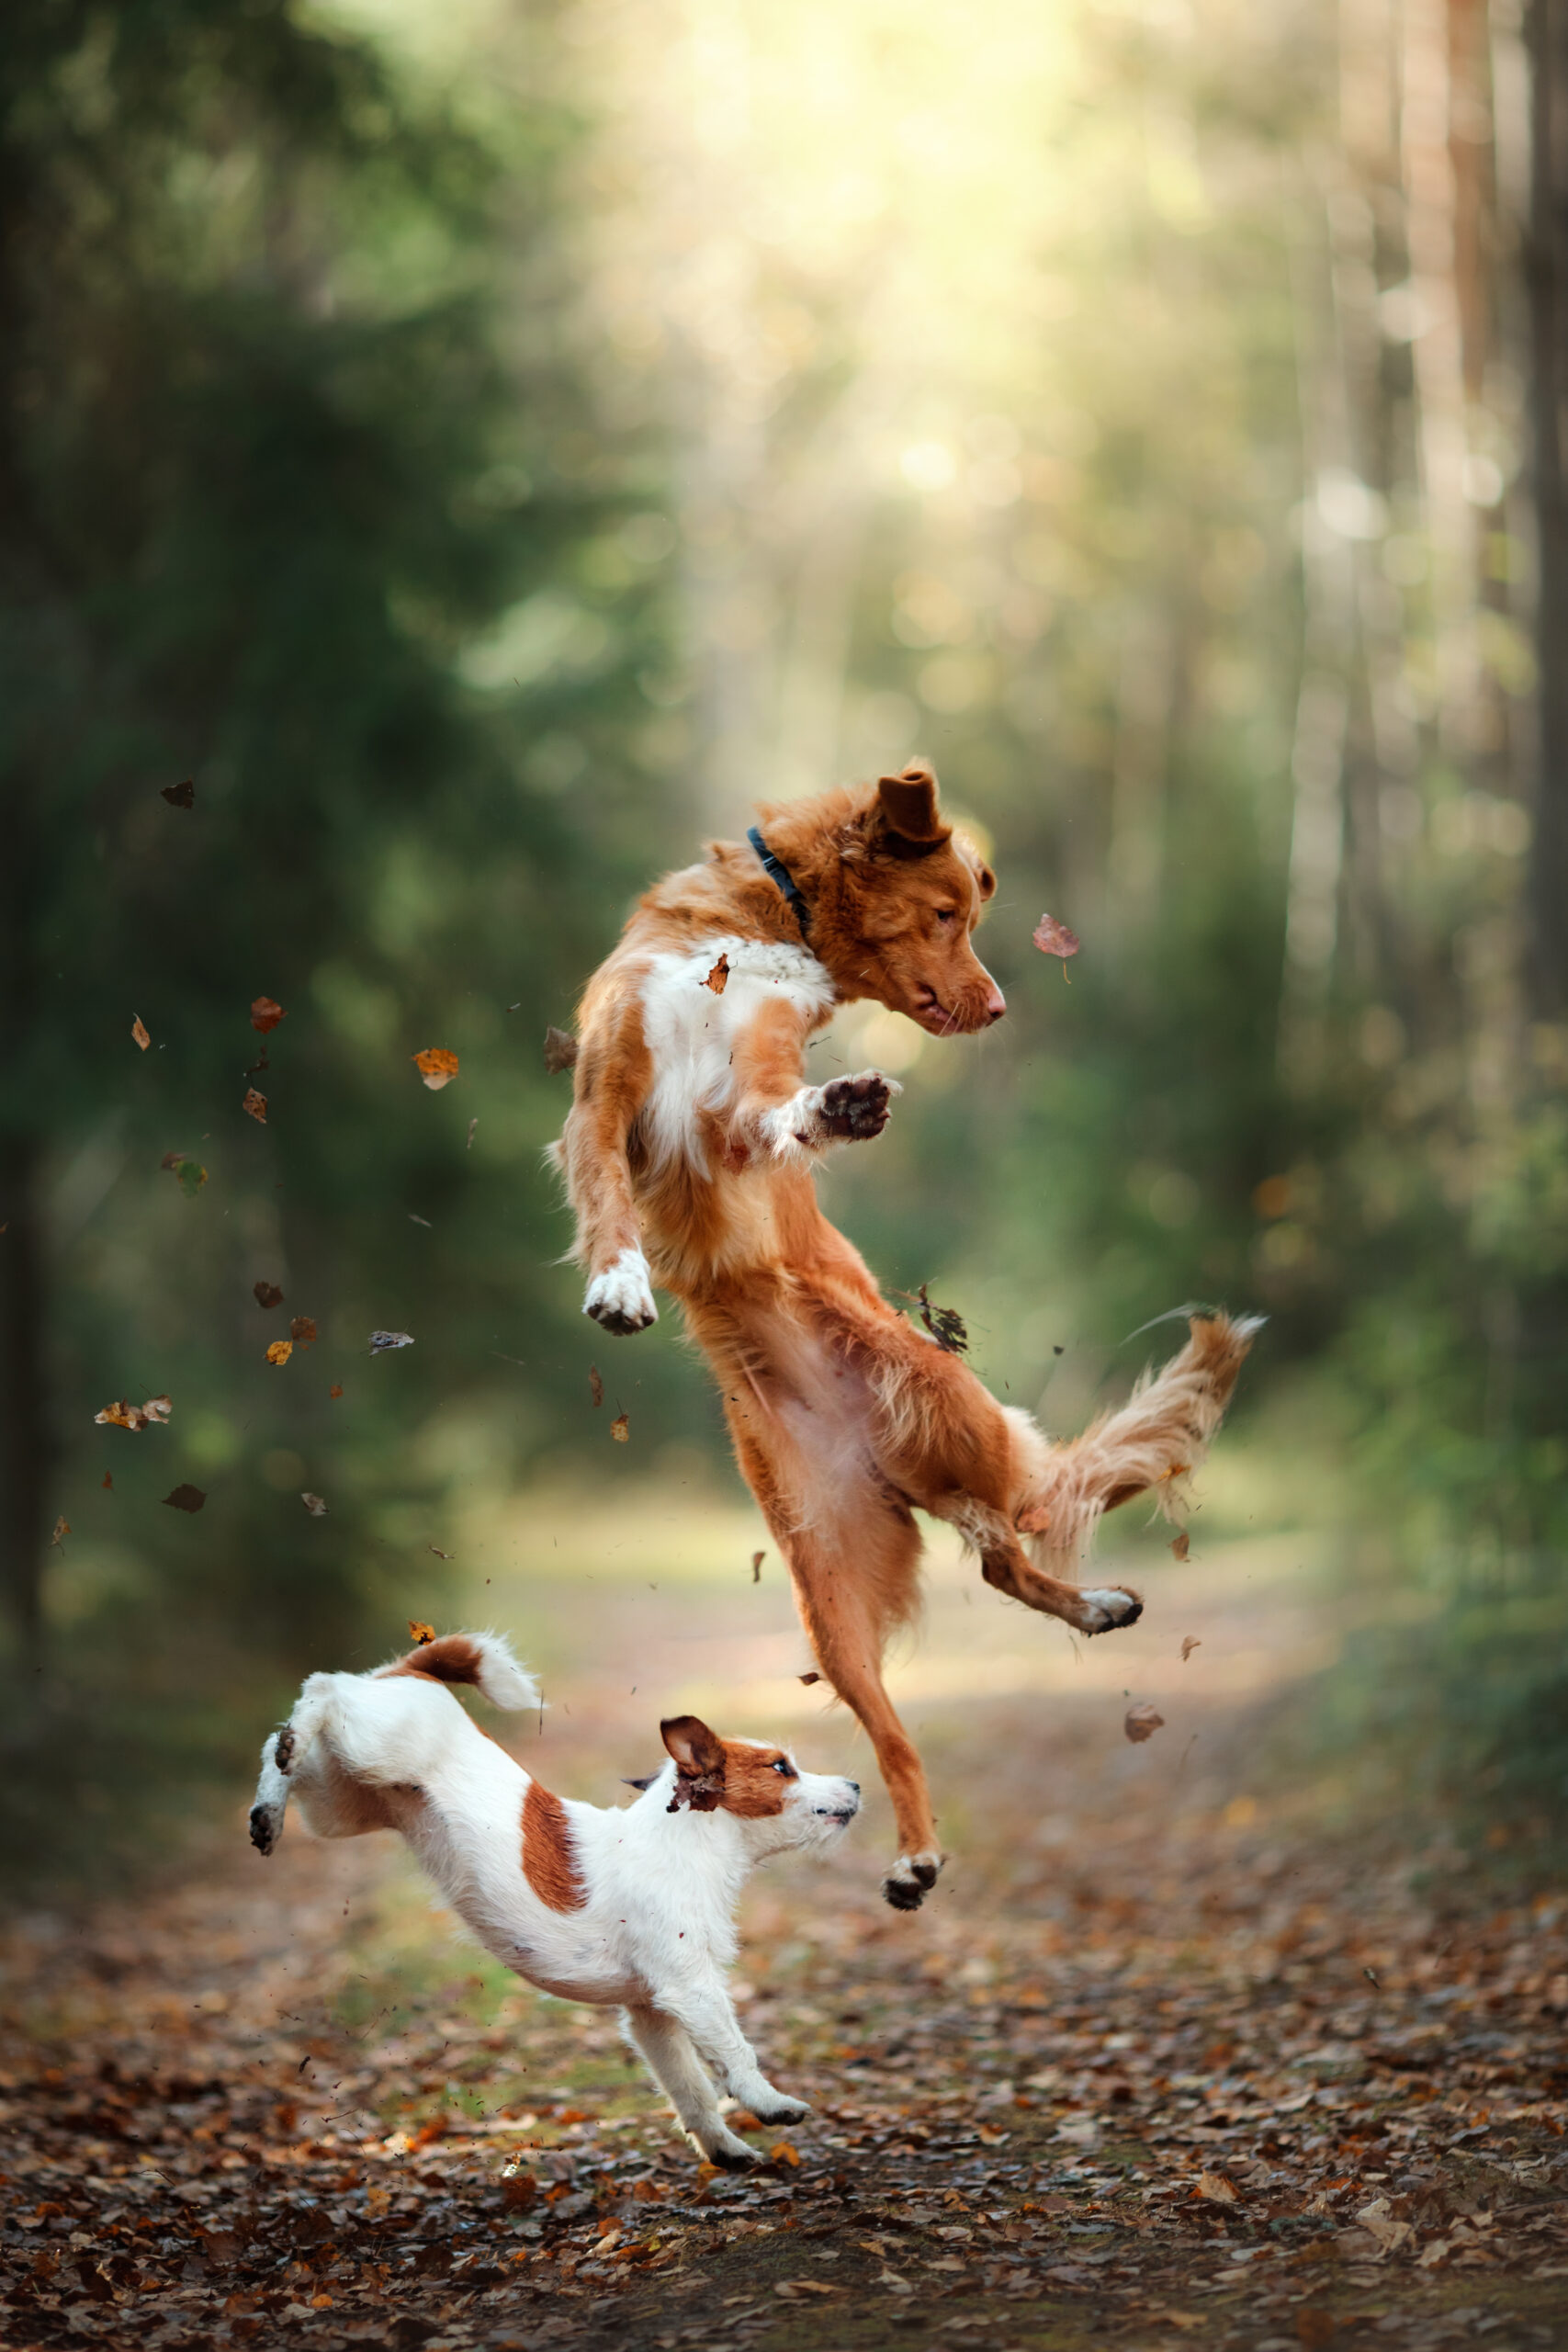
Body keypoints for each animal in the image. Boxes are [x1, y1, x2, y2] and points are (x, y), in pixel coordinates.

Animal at [247, 1636, 860, 2164]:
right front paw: (772, 2104)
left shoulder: (651, 2015)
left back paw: (268, 1811)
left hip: (337, 1804)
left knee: (283, 1749)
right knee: (324, 1687)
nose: (856, 1785)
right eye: (781, 1767)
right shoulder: (693, 1990)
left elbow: (690, 2088)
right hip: (375, 1750)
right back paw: (282, 1771)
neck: (685, 1845)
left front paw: (725, 2150)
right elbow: (735, 2053)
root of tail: (415, 1671)